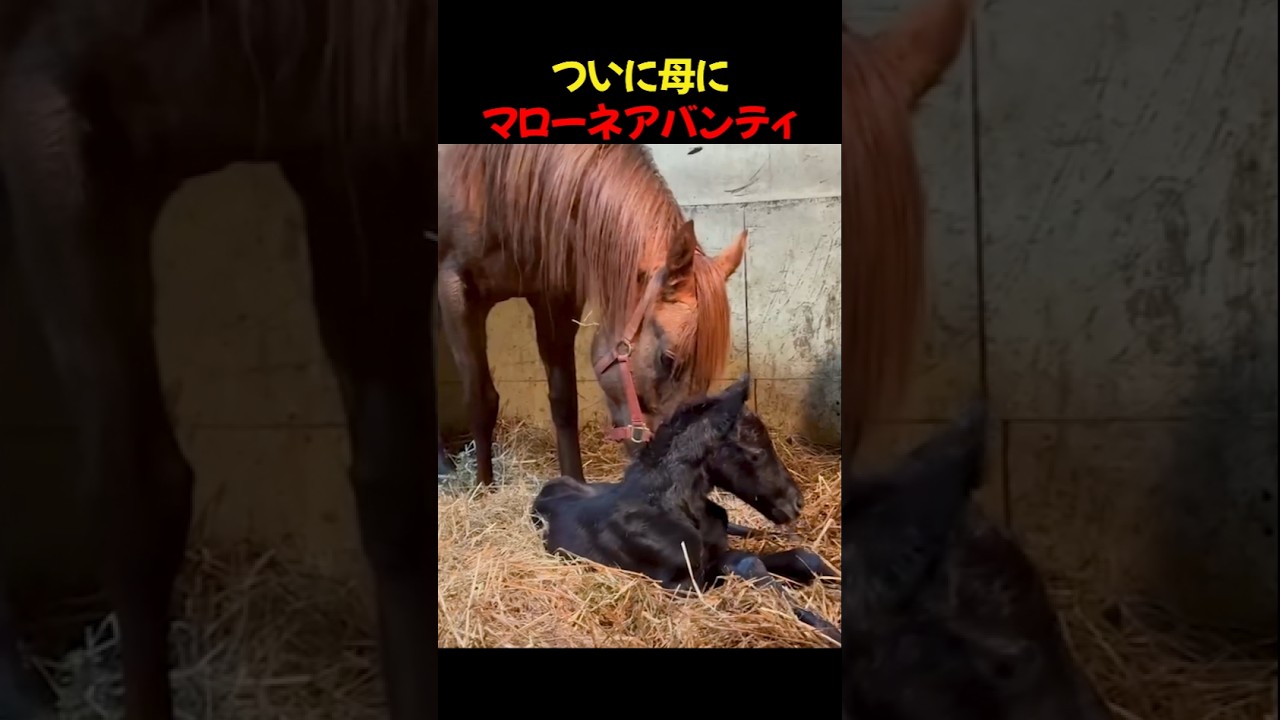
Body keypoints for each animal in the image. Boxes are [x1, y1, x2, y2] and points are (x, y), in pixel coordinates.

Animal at [436, 144, 746, 488]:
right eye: (668, 359)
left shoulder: (553, 296)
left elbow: (564, 401)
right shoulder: (456, 291)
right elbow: (481, 399)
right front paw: (484, 488)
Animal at [532, 375, 841, 644]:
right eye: (756, 453)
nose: (796, 503)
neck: (676, 509)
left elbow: (800, 557)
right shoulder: (683, 587)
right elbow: (749, 563)